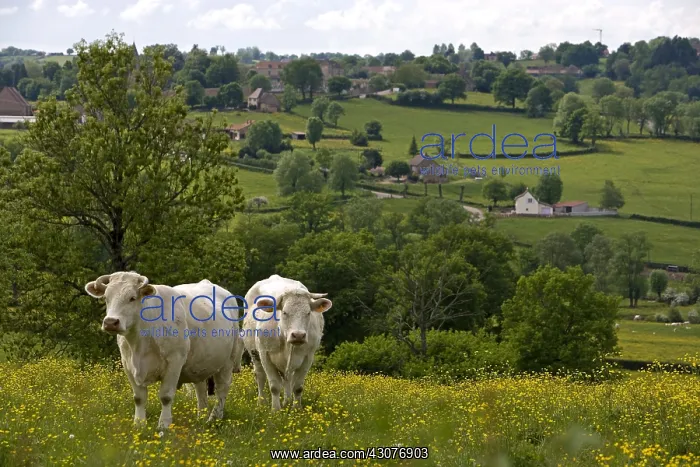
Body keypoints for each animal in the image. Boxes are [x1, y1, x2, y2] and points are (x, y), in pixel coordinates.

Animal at [84, 271, 244, 429]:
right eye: (106, 298)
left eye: (132, 298)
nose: (110, 322)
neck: (139, 343)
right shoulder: (128, 364)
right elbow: (139, 398)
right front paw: (139, 425)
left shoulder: (174, 362)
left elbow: (166, 396)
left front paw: (163, 425)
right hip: (199, 365)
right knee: (201, 390)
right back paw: (202, 418)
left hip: (228, 361)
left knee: (222, 389)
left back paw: (215, 418)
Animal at [241, 274, 332, 411]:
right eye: (284, 312)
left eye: (308, 313)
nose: (298, 335)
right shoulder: (264, 354)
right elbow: (274, 386)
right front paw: (275, 410)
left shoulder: (308, 357)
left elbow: (298, 387)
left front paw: (297, 409)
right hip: (254, 353)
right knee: (260, 376)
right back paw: (261, 403)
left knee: (287, 379)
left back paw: (287, 402)